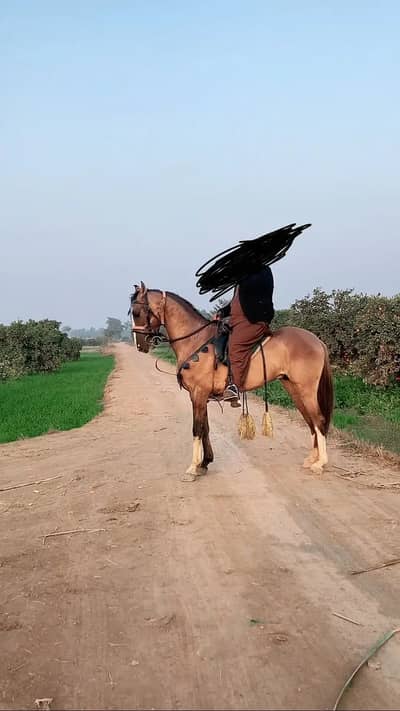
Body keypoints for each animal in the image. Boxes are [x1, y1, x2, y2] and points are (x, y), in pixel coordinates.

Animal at [130, 282, 334, 481]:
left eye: (137, 313)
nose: (140, 345)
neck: (195, 340)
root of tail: (316, 340)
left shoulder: (198, 393)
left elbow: (197, 429)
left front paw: (192, 468)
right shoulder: (200, 396)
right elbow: (205, 428)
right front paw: (204, 463)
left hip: (306, 390)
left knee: (318, 419)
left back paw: (319, 463)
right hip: (293, 388)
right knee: (310, 421)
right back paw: (312, 459)